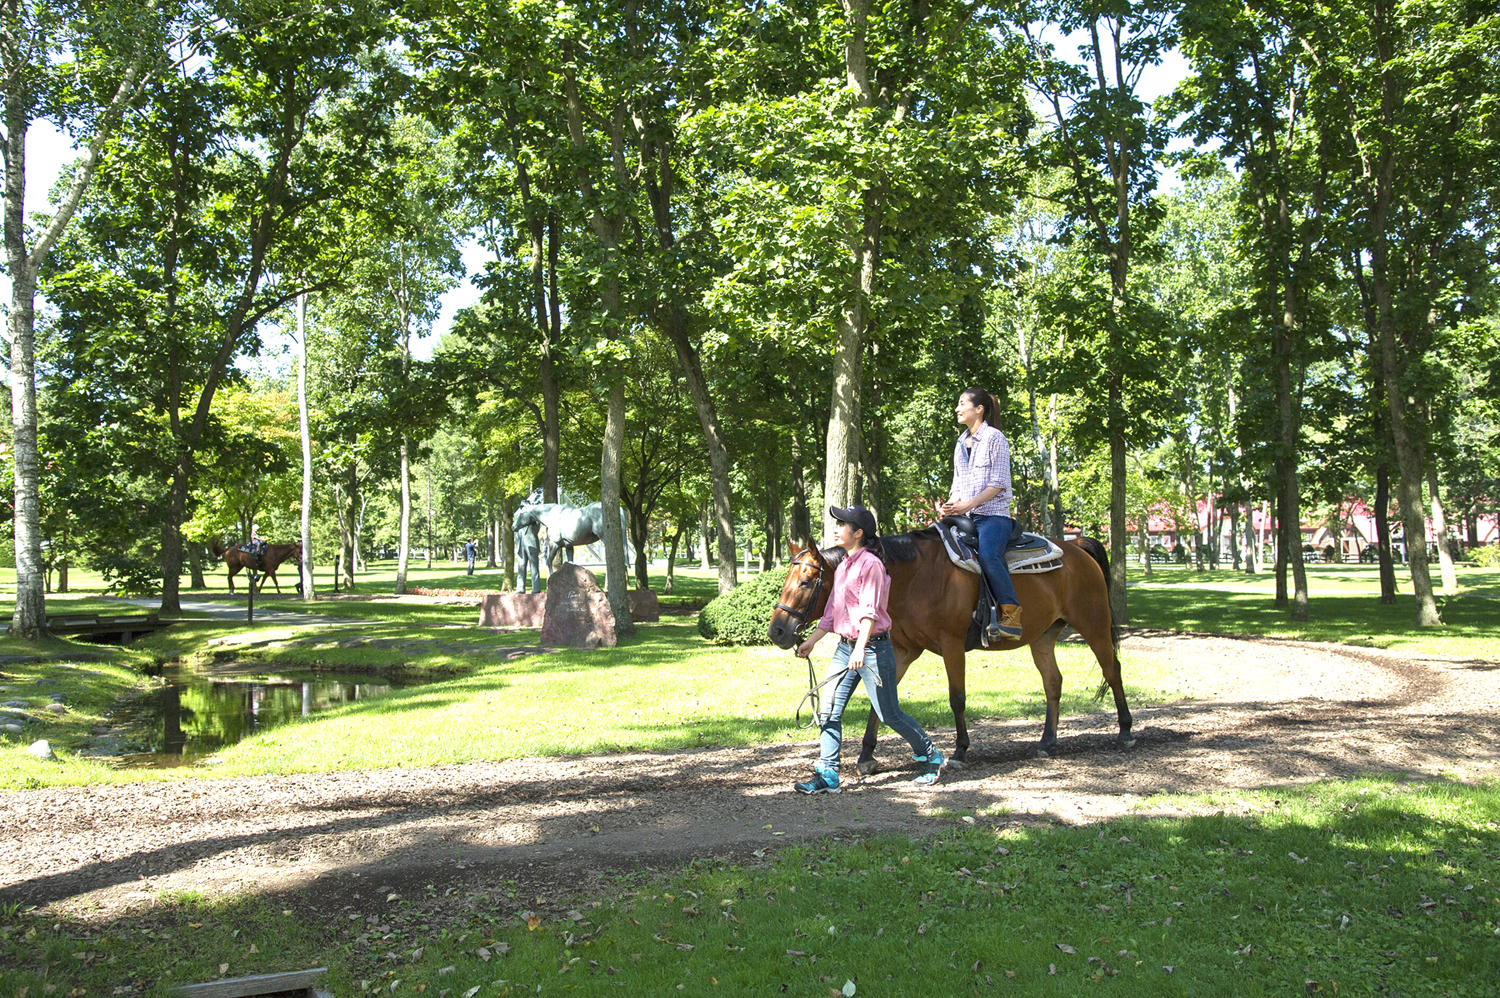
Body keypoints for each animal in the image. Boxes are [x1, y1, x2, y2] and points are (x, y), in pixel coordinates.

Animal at [768, 528, 1128, 768]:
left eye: (805, 582)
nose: (777, 631)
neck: (913, 578)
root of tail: (1076, 546)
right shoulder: (902, 652)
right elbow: (880, 703)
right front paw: (867, 755)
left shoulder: (952, 646)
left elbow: (957, 699)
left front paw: (960, 750)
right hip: (1043, 637)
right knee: (1053, 682)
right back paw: (1046, 742)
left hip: (1093, 625)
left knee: (1112, 670)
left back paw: (1125, 731)